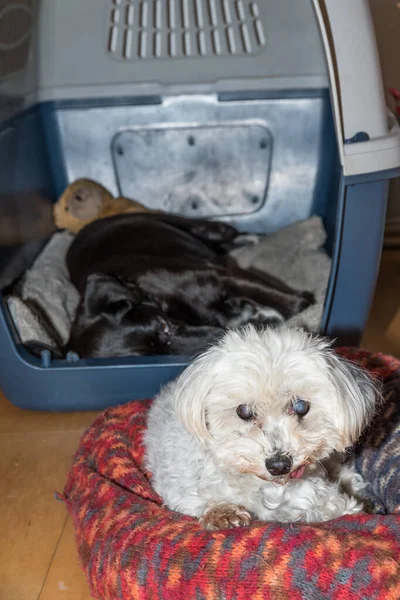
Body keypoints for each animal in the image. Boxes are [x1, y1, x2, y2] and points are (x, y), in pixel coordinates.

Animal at [67, 212, 314, 356]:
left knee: (227, 235)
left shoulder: (225, 277)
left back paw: (252, 238)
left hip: (199, 226)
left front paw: (305, 306)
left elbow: (292, 304)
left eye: (163, 327)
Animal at [145, 326, 378, 528]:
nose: (279, 465)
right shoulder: (178, 489)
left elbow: (336, 506)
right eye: (244, 410)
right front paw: (223, 512)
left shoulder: (320, 497)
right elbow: (198, 500)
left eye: (300, 406)